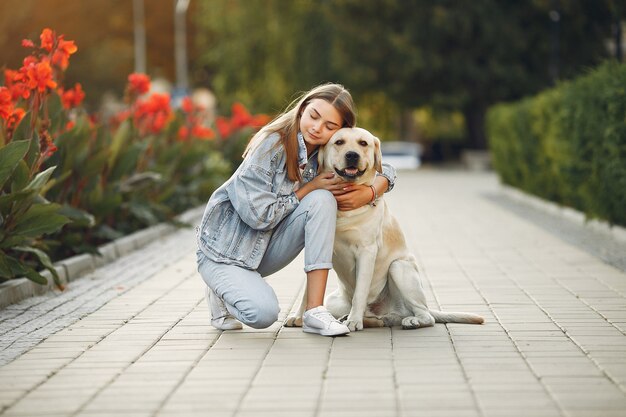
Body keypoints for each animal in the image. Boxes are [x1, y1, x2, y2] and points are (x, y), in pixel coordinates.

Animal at [286, 127, 480, 332]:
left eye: (363, 143)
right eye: (339, 142)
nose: (352, 155)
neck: (343, 210)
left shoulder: (367, 251)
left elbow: (360, 292)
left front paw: (354, 321)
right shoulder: (316, 247)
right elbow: (308, 289)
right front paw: (298, 316)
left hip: (399, 268)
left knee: (426, 315)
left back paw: (409, 321)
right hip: (334, 301)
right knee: (384, 318)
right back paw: (367, 319)